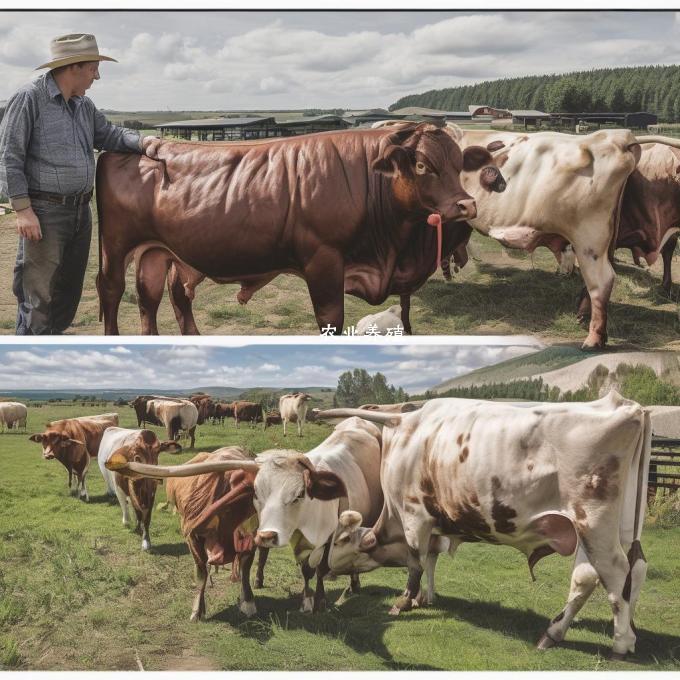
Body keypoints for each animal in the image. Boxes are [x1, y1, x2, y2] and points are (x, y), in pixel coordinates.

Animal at [94, 123, 504, 336]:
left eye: (459, 164)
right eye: (420, 165)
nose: (466, 205)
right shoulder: (324, 261)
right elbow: (331, 319)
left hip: (158, 251)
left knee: (154, 298)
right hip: (116, 247)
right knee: (113, 291)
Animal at [106, 446, 268, 620]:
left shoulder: (250, 539)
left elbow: (245, 569)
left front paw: (248, 603)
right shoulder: (193, 538)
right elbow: (201, 572)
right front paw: (198, 610)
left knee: (262, 554)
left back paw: (258, 579)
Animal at [316, 390, 652, 660]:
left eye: (340, 541)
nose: (327, 568)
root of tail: (627, 406)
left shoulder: (415, 515)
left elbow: (415, 562)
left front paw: (404, 601)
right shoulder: (435, 523)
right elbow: (430, 559)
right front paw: (426, 597)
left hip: (593, 521)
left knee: (614, 571)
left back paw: (621, 643)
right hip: (615, 526)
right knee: (609, 573)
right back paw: (559, 633)